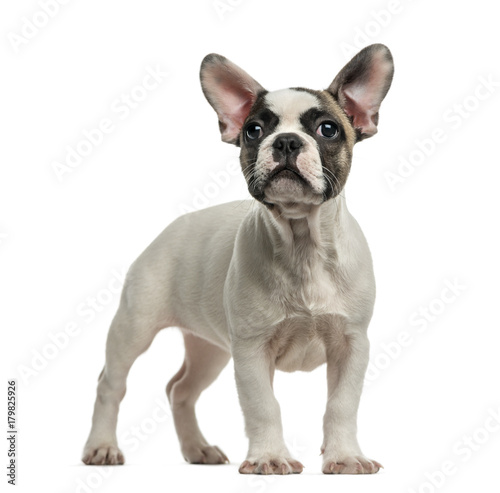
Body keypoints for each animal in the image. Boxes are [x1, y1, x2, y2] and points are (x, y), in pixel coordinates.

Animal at [82, 44, 394, 474]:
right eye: (254, 130)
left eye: (328, 129)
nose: (286, 141)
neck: (303, 245)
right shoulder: (250, 351)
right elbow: (263, 406)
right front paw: (270, 457)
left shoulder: (351, 345)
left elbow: (342, 405)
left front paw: (345, 457)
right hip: (135, 326)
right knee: (111, 384)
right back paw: (101, 447)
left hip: (209, 349)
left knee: (180, 389)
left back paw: (197, 449)